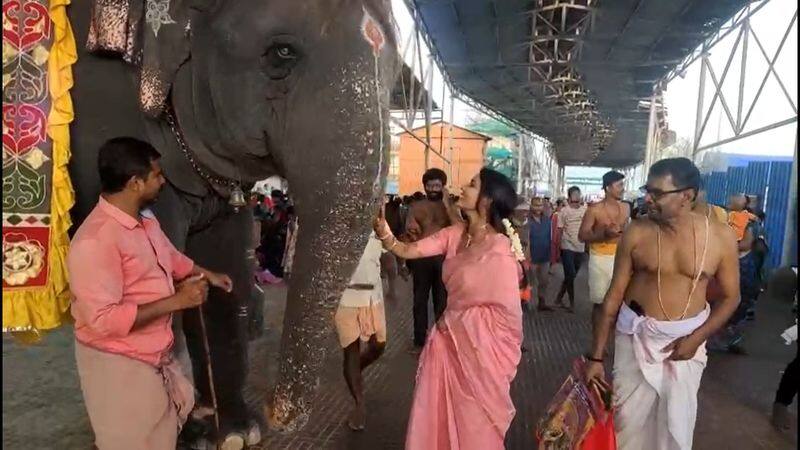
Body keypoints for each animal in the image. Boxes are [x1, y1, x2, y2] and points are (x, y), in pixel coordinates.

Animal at [65, 0, 400, 438]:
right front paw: (193, 434)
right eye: (282, 53)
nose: (275, 410)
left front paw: (238, 433)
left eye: (396, 75)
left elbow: (227, 259)